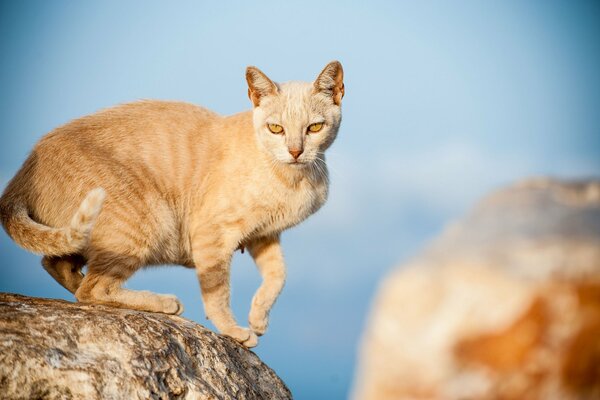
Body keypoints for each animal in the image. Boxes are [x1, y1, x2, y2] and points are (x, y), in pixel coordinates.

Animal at [0, 60, 344, 346]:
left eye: (314, 127)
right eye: (276, 128)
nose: (296, 151)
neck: (292, 179)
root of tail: (20, 176)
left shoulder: (264, 235)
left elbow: (277, 275)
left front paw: (258, 317)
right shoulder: (212, 236)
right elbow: (218, 292)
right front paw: (234, 330)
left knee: (60, 267)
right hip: (145, 220)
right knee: (92, 290)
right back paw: (163, 302)